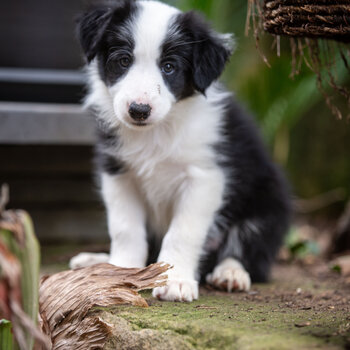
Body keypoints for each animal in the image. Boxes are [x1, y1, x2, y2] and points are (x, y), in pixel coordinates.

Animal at [69, 0, 292, 300]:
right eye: (124, 60)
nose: (139, 110)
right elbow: (125, 228)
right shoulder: (118, 172)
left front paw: (174, 281)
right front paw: (121, 271)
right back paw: (95, 260)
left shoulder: (204, 178)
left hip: (268, 202)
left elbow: (182, 232)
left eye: (169, 67)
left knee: (248, 254)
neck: (156, 132)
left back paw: (230, 274)